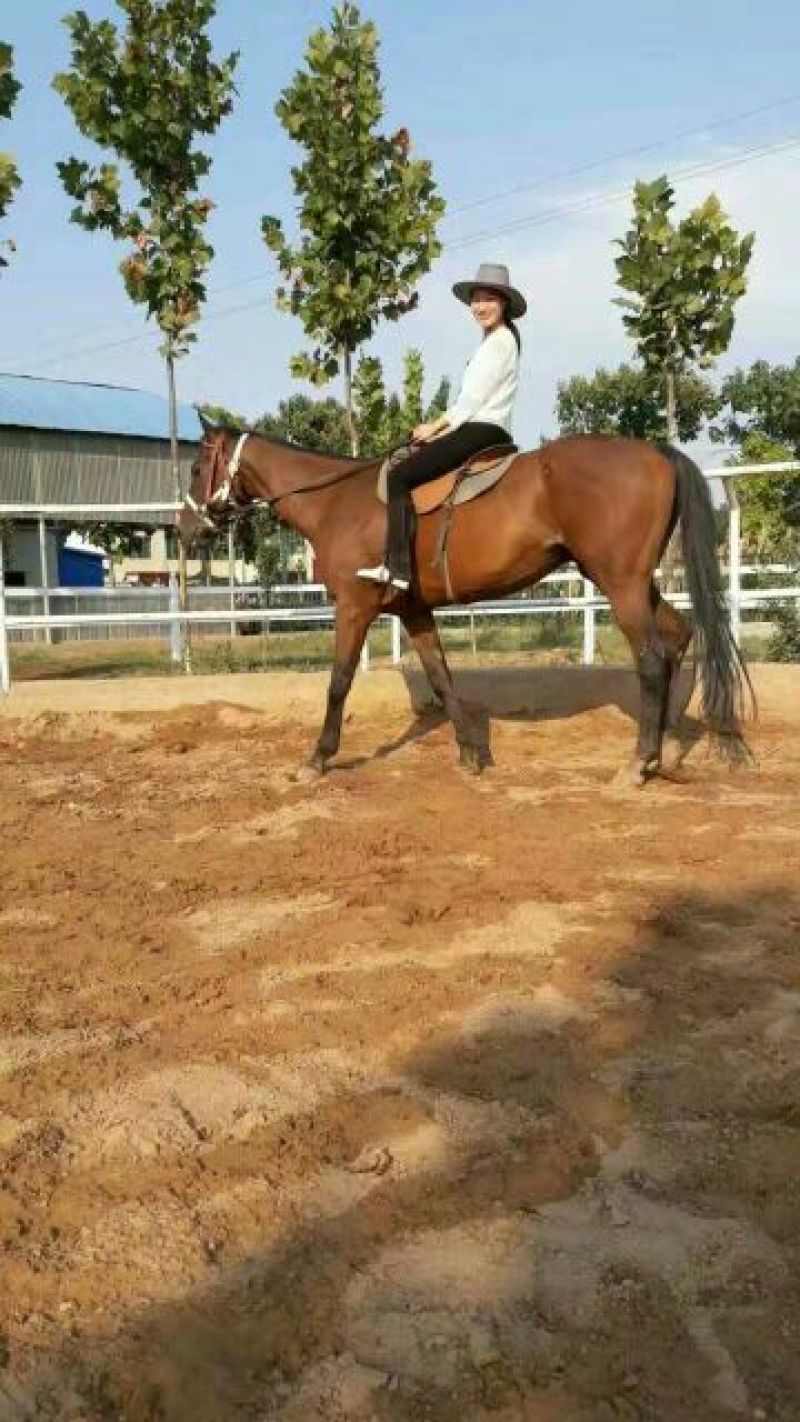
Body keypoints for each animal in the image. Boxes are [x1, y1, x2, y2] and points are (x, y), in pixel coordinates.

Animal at [177, 421, 752, 782]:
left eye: (197, 468)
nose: (185, 528)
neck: (336, 501)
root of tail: (657, 452)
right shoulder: (414, 611)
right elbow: (441, 677)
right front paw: (472, 753)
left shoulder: (356, 608)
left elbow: (339, 682)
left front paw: (317, 759)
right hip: (628, 579)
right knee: (678, 636)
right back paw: (666, 743)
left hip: (621, 583)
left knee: (652, 657)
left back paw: (640, 761)